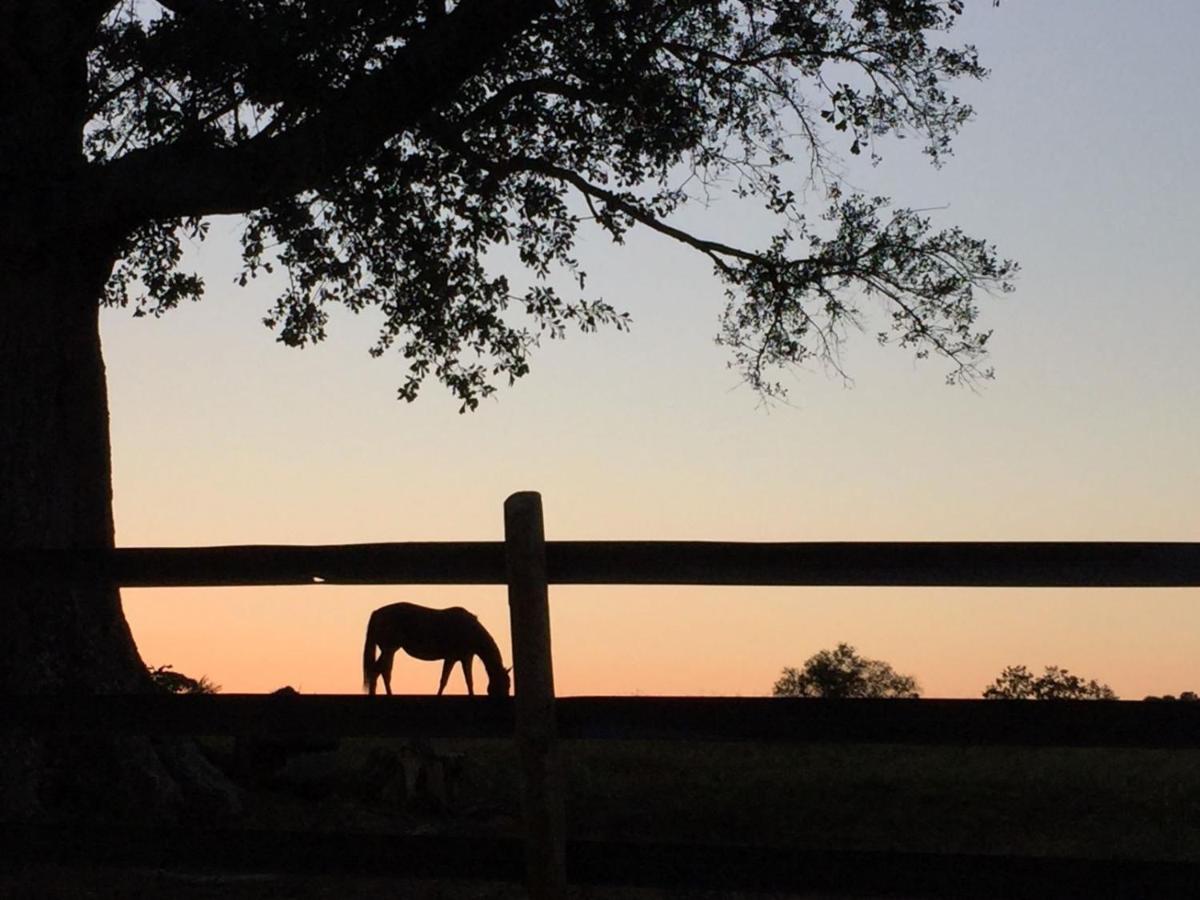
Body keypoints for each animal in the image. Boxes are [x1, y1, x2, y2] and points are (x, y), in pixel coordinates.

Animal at [355, 607, 506, 696]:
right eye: (503, 685)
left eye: (507, 685)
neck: (470, 630)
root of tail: (376, 613)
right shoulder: (451, 658)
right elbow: (444, 680)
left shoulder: (466, 658)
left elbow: (469, 681)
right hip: (389, 649)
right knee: (378, 671)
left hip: (390, 650)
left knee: (382, 671)